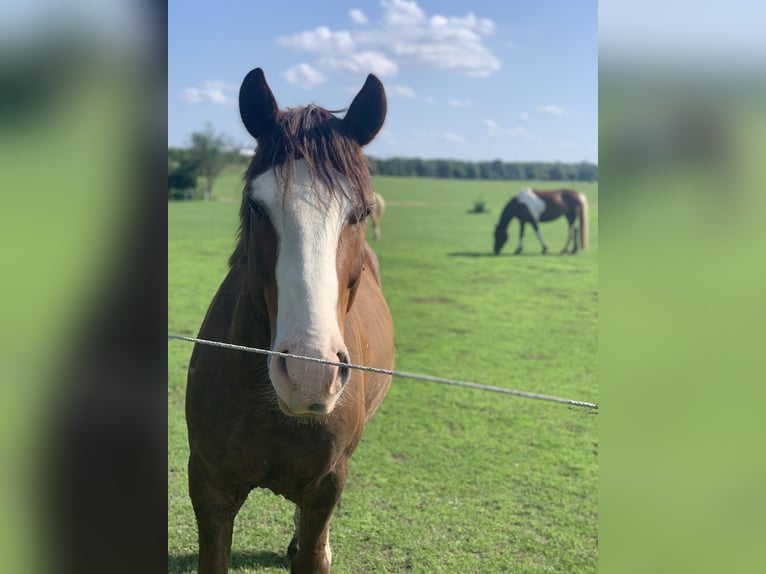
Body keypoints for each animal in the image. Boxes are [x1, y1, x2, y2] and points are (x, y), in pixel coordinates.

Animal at [185, 68, 394, 574]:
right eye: (255, 205)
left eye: (360, 211)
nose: (308, 373)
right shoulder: (209, 486)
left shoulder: (326, 485)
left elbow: (314, 549)